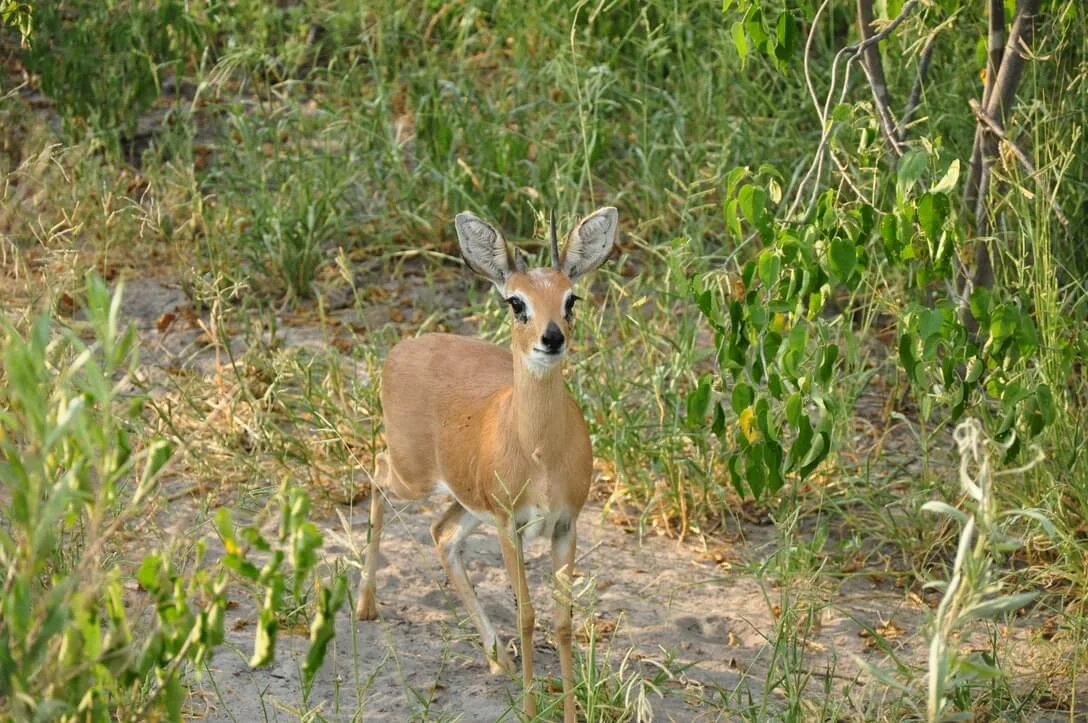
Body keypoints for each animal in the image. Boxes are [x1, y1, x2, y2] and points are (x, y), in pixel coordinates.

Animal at [356, 207, 618, 722]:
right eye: (516, 302)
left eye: (571, 298)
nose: (552, 338)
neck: (539, 455)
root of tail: (402, 349)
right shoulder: (509, 525)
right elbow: (527, 616)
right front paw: (532, 710)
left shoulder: (565, 524)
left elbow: (562, 622)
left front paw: (569, 712)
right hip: (414, 477)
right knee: (375, 470)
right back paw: (366, 607)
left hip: (468, 503)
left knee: (441, 534)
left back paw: (498, 658)